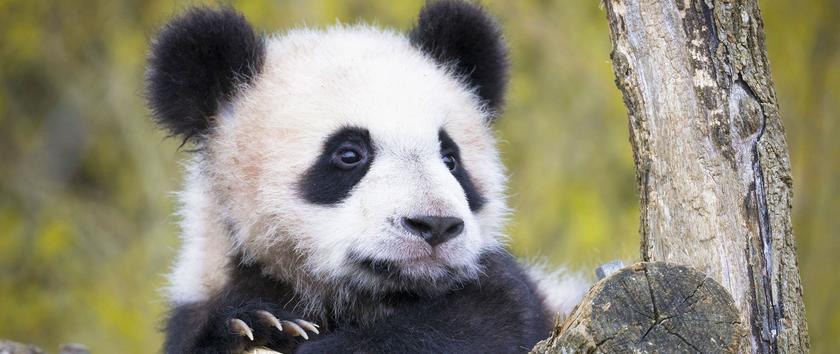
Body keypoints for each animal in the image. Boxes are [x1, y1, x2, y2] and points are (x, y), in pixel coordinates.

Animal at [146, 1, 584, 352]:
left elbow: (477, 322)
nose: (435, 225)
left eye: (450, 158)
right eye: (349, 154)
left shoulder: (513, 297)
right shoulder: (205, 295)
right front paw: (258, 326)